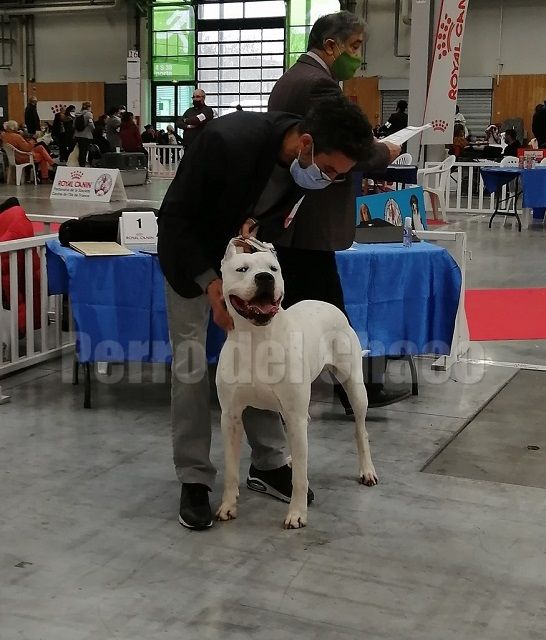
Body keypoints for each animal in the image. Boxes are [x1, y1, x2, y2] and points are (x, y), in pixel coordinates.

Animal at [215, 240, 376, 528]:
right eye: (242, 269)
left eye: (273, 269)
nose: (264, 278)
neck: (257, 339)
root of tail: (327, 304)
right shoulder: (230, 417)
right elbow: (231, 470)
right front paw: (228, 506)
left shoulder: (294, 414)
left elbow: (300, 476)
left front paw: (297, 513)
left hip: (355, 388)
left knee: (361, 430)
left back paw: (367, 470)